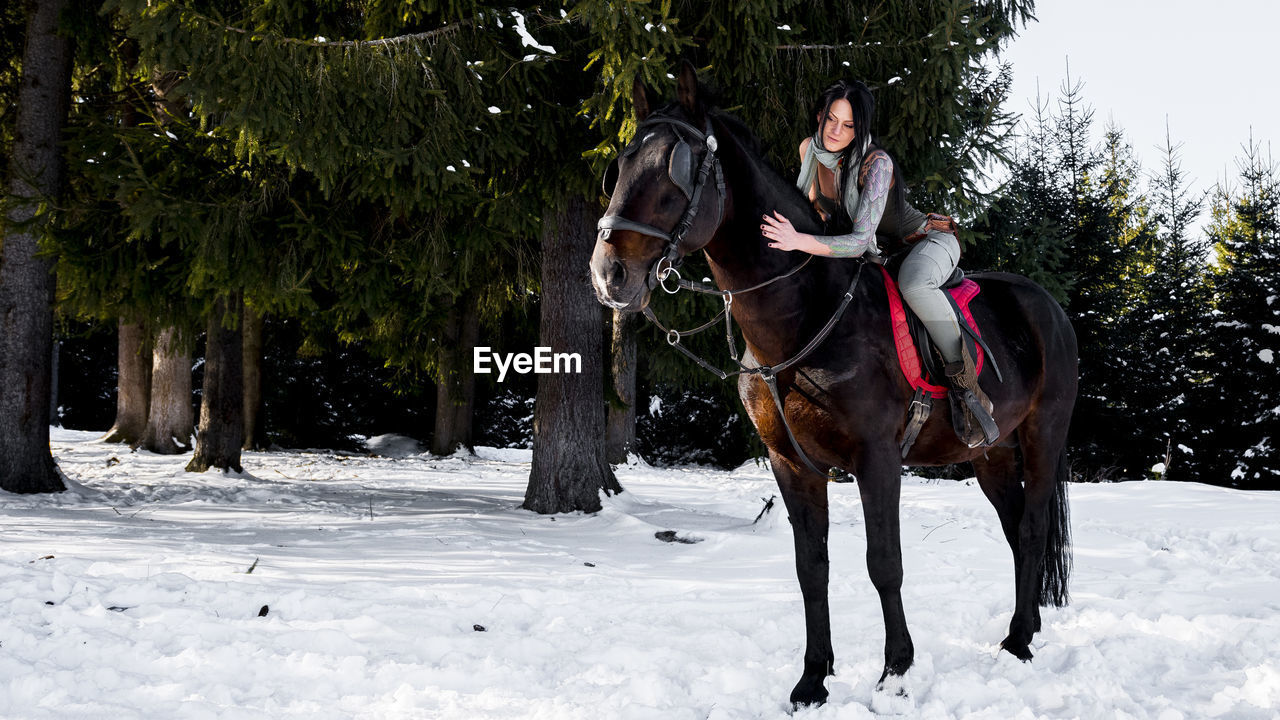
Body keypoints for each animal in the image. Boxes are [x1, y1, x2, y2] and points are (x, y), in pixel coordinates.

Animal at [586, 67, 1070, 707]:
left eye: (676, 169)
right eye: (620, 165)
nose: (608, 274)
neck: (805, 317)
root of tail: (1048, 306)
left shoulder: (878, 459)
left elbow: (884, 562)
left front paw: (896, 672)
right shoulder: (790, 463)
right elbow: (810, 568)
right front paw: (813, 678)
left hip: (1042, 436)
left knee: (1034, 528)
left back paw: (1019, 642)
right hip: (990, 452)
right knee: (1017, 533)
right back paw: (1024, 628)